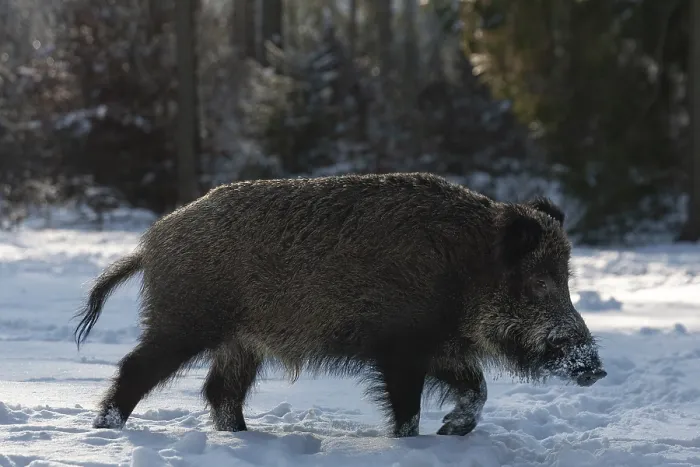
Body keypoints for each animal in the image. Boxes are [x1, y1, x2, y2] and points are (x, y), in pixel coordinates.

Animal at [73, 172, 606, 437]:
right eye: (540, 282)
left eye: (567, 280)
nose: (596, 369)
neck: (463, 268)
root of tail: (149, 244)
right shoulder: (400, 346)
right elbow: (409, 407)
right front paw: (413, 442)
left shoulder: (441, 346)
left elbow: (477, 388)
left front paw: (451, 433)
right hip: (184, 321)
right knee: (137, 368)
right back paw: (106, 431)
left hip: (242, 342)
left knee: (219, 389)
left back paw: (244, 438)